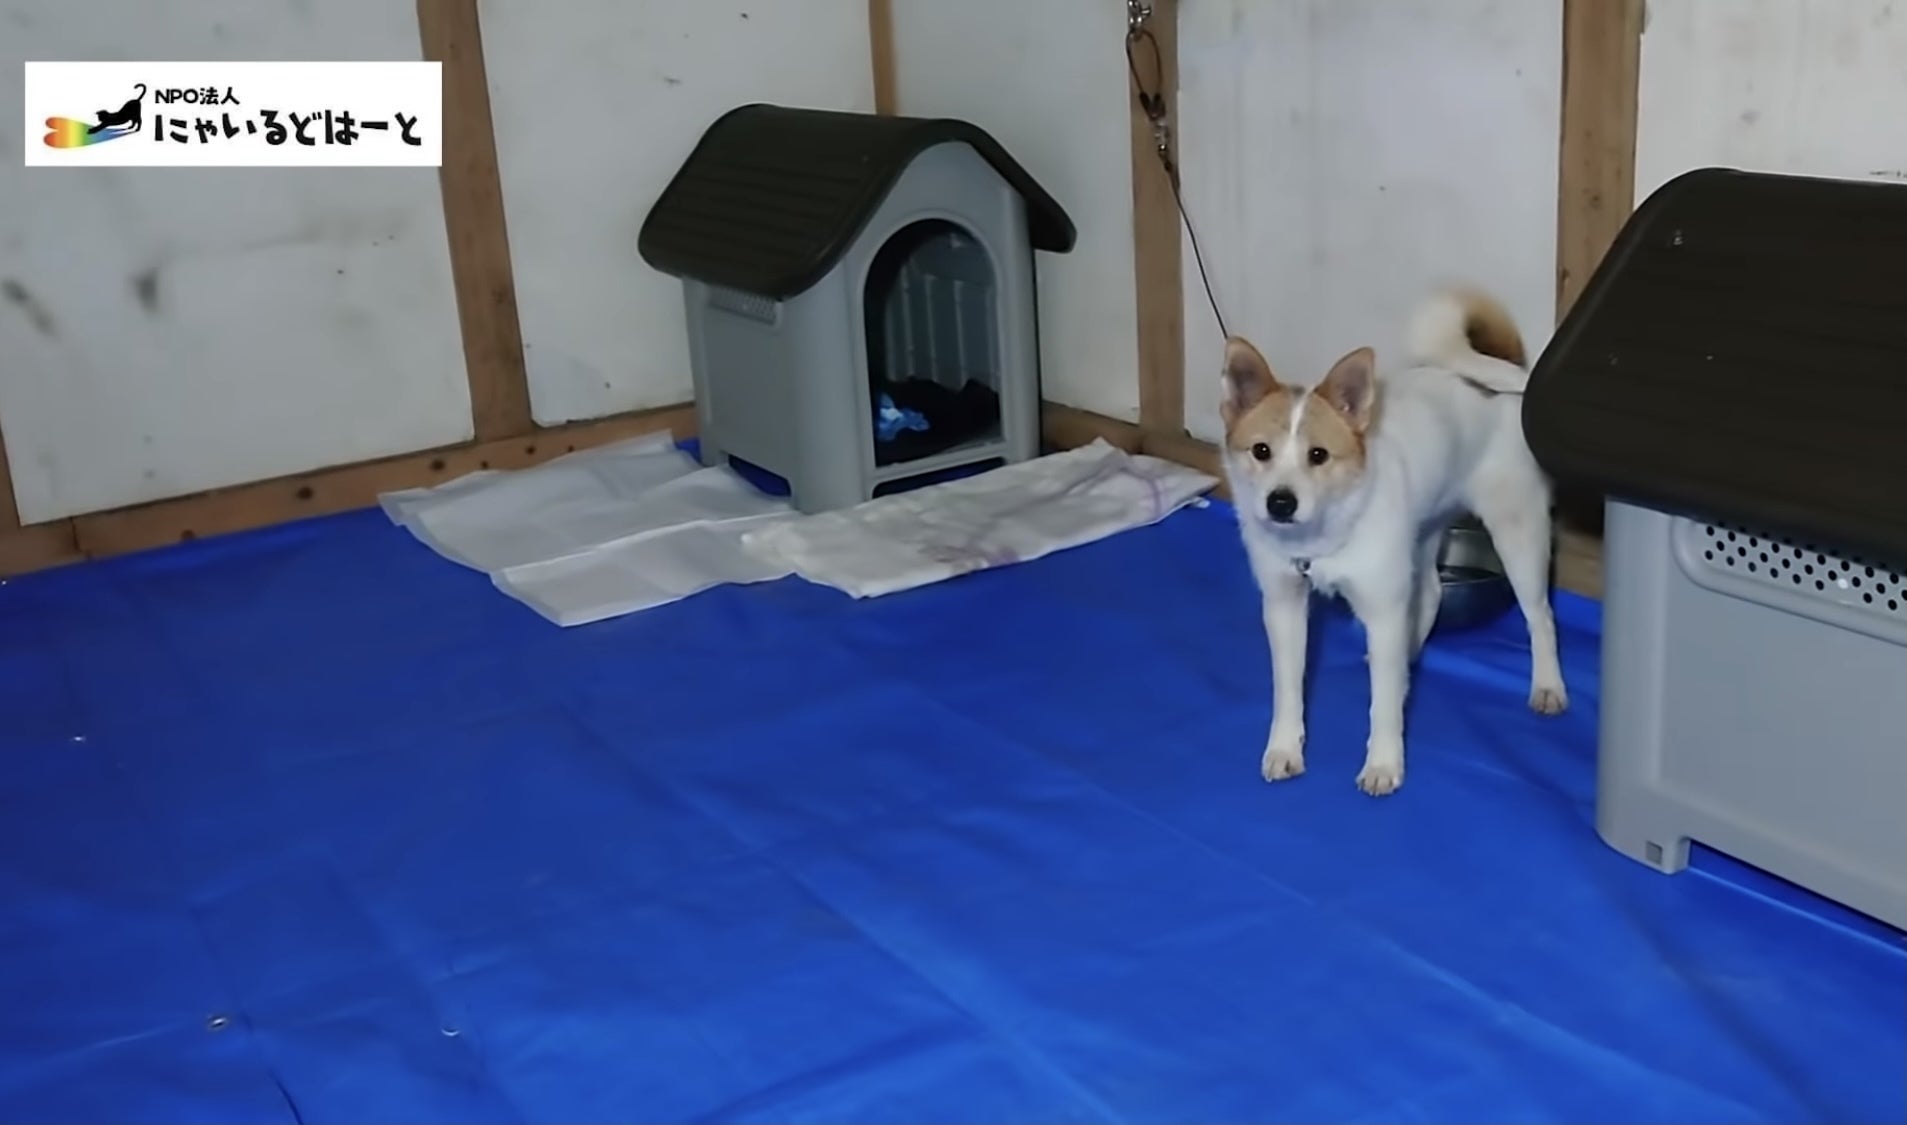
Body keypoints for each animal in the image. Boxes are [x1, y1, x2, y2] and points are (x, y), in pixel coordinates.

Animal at [1220, 285, 1568, 797]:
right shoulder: (1284, 604)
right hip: (1421, 533)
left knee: (1540, 616)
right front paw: (1284, 748)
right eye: (1261, 451)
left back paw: (1547, 685)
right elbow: (1288, 689)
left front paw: (1383, 763)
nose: (1280, 502)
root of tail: (1499, 375)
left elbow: (1382, 705)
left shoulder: (1382, 607)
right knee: (1431, 595)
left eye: (1318, 455)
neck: (1328, 530)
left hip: (1517, 532)